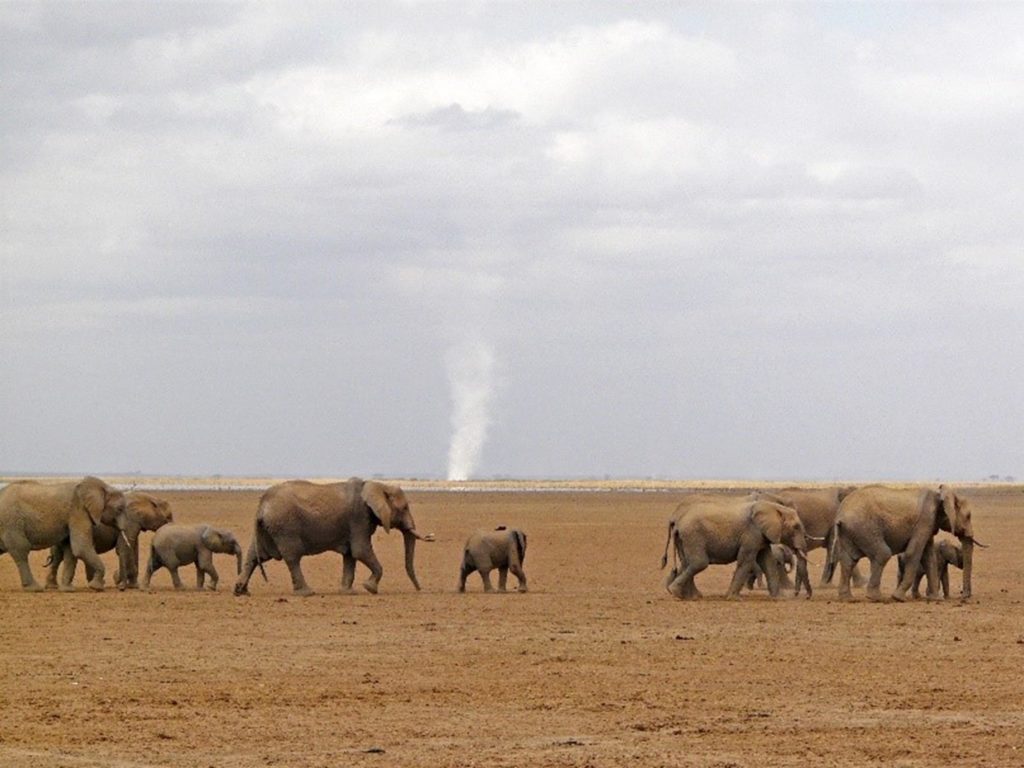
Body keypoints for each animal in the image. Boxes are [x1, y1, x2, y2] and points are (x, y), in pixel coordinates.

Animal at [0, 475, 129, 593]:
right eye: (119, 509)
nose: (122, 588)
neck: (102, 487)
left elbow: (70, 550)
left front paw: (68, 589)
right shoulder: (78, 511)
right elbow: (80, 547)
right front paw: (96, 587)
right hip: (11, 522)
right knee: (21, 550)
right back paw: (35, 589)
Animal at [45, 493, 174, 593]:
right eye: (168, 517)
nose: (121, 587)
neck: (149, 497)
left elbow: (132, 547)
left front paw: (130, 585)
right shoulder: (131, 521)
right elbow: (126, 548)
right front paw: (124, 583)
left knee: (57, 556)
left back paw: (53, 586)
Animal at [234, 479, 434, 598]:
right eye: (405, 508)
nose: (420, 590)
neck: (378, 485)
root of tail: (262, 503)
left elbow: (351, 555)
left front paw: (348, 592)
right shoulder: (359, 518)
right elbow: (361, 550)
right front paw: (370, 589)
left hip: (268, 528)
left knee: (255, 556)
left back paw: (240, 591)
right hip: (284, 526)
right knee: (293, 558)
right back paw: (307, 593)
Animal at [663, 499, 806, 602]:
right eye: (796, 527)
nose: (796, 594)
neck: (775, 507)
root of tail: (678, 522)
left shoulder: (762, 536)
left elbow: (767, 562)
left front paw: (780, 598)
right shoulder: (751, 534)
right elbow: (746, 561)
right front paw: (734, 599)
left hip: (684, 539)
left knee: (686, 563)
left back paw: (689, 596)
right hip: (693, 536)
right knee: (699, 563)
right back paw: (679, 593)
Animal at [827, 483, 978, 606]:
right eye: (968, 516)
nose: (963, 597)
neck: (940, 494)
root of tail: (840, 515)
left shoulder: (928, 525)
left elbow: (928, 557)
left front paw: (936, 599)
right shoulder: (924, 521)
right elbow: (913, 553)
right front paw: (898, 598)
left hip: (848, 531)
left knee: (848, 560)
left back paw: (848, 599)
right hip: (864, 528)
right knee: (882, 554)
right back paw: (876, 598)